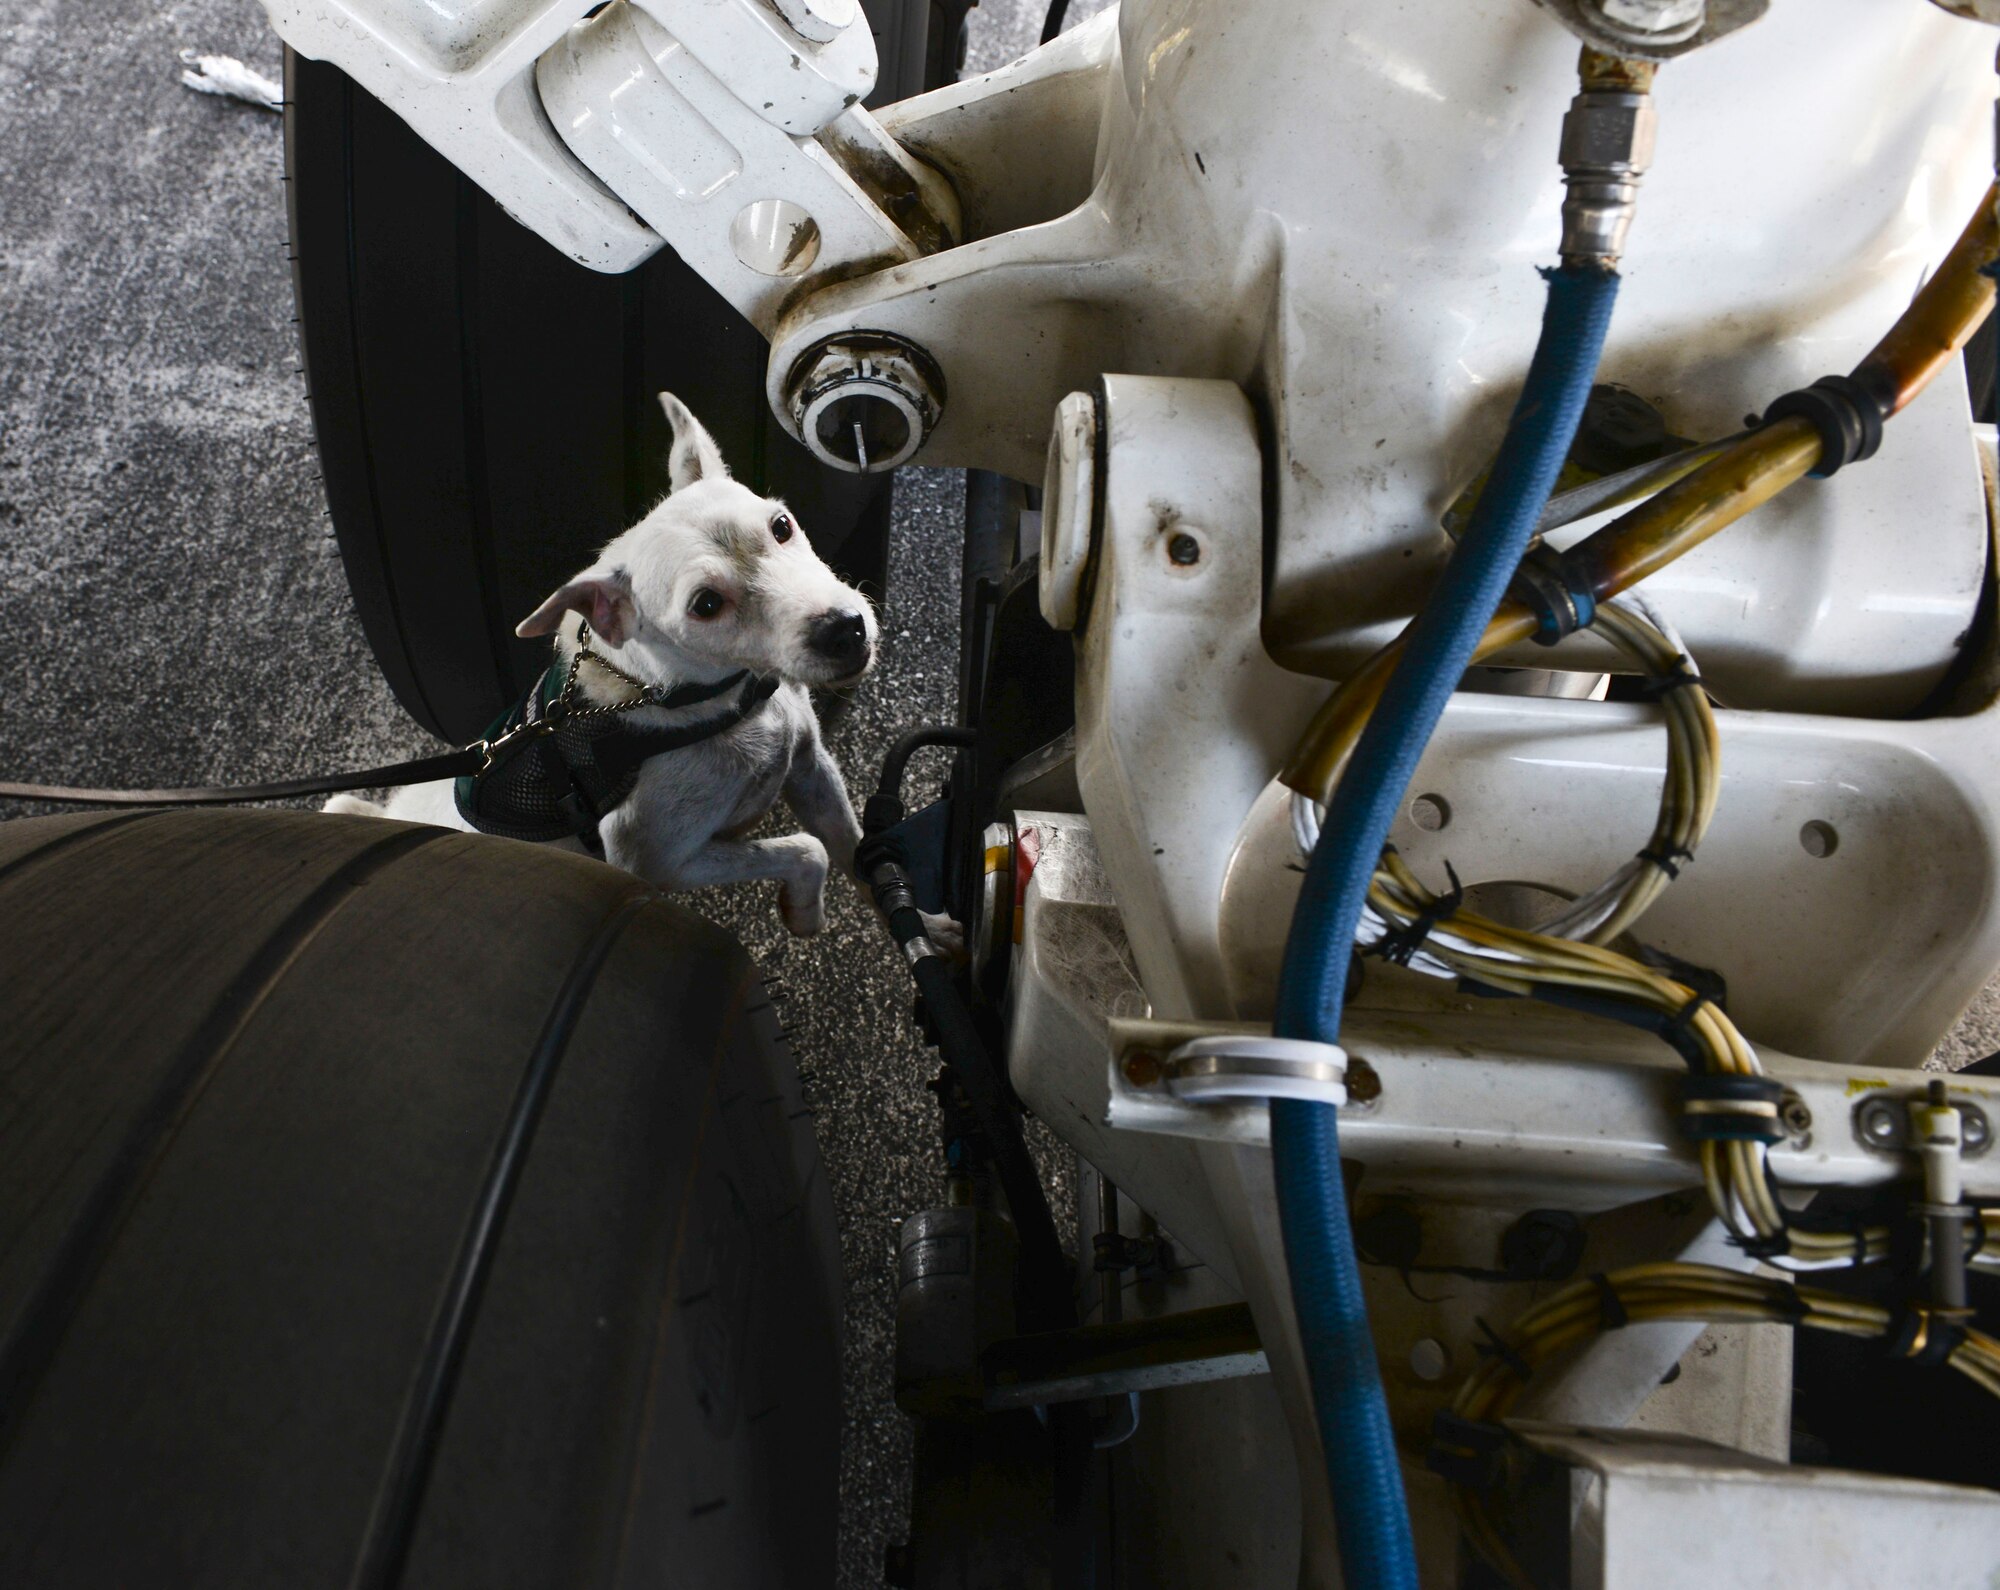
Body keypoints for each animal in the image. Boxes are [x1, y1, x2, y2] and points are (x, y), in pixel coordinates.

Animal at [332, 394, 880, 940]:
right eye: (705, 604)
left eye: (781, 526)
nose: (845, 630)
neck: (722, 702)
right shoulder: (662, 863)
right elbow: (806, 849)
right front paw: (806, 912)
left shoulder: (811, 767)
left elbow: (854, 848)